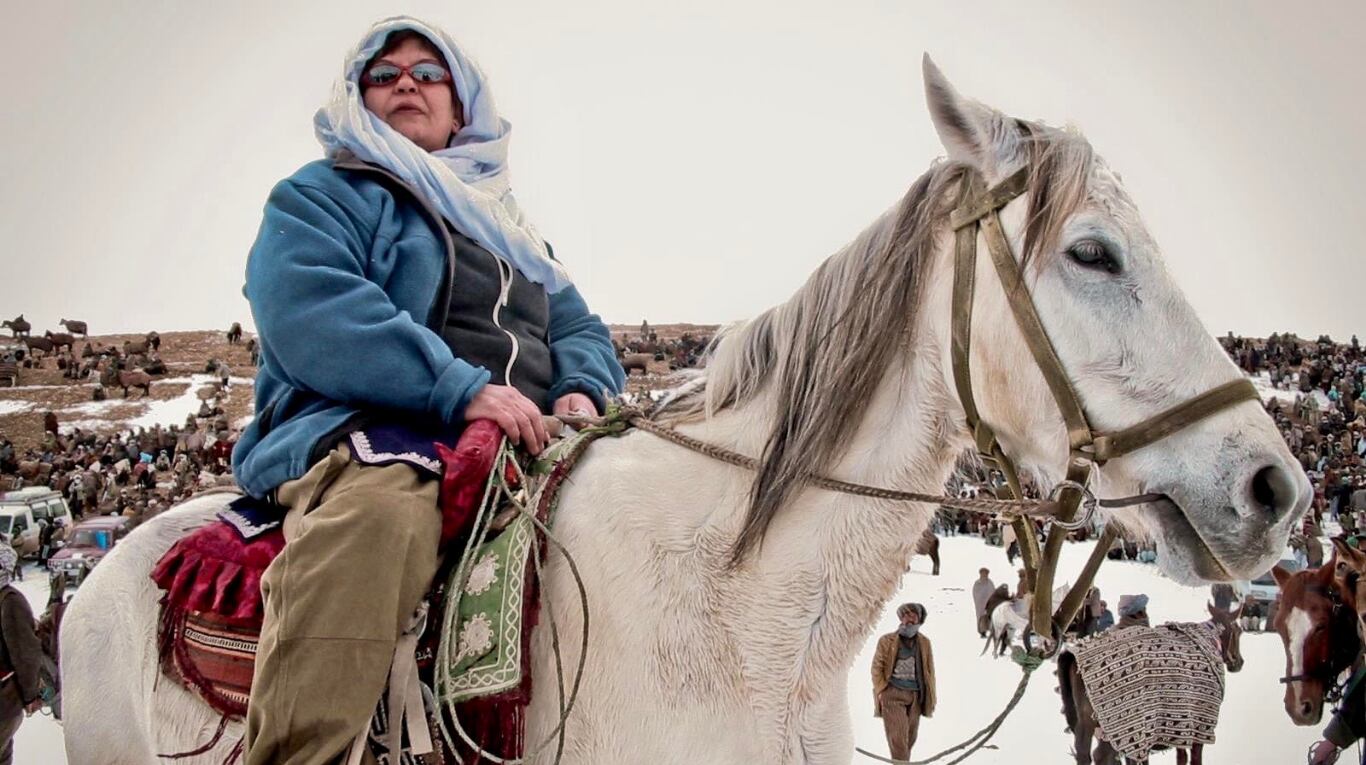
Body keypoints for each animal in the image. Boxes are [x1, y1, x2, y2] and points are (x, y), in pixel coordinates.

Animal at [1060, 609, 1245, 765]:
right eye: (1238, 630)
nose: (1239, 661)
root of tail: (1073, 658)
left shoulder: (1180, 731)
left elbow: (1180, 757)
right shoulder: (1200, 730)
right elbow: (1194, 759)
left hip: (1086, 721)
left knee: (1083, 752)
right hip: (1110, 726)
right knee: (1101, 756)